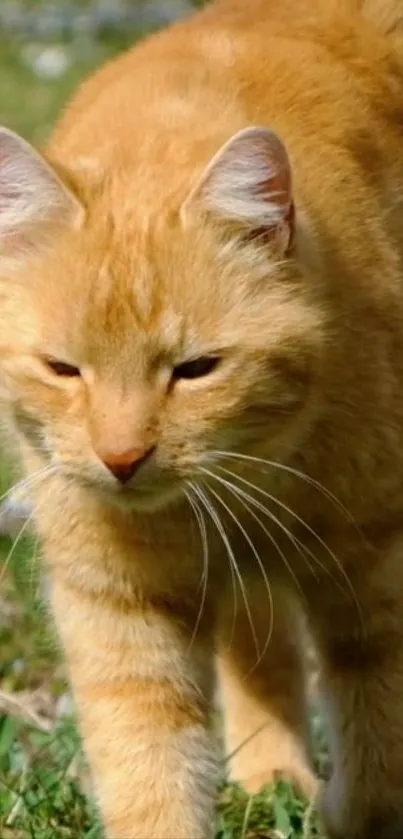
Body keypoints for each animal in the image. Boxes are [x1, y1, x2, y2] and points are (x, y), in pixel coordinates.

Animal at [2, 0, 403, 836]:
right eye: (65, 369)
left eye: (194, 370)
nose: (122, 457)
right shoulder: (118, 603)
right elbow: (147, 760)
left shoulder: (377, 568)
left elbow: (380, 736)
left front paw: (354, 810)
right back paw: (270, 773)